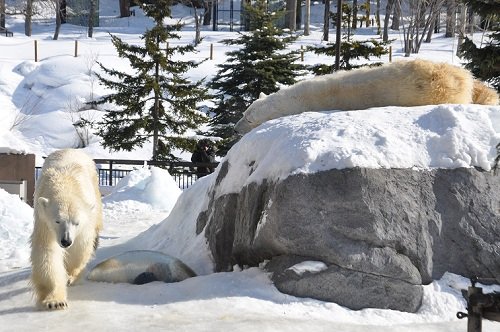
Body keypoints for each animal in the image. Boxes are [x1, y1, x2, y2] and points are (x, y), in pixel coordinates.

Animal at [30, 149, 102, 310]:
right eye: (57, 221)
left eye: (76, 223)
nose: (65, 241)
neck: (66, 183)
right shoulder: (44, 220)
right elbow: (47, 251)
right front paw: (55, 301)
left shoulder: (86, 217)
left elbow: (81, 245)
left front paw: (70, 276)